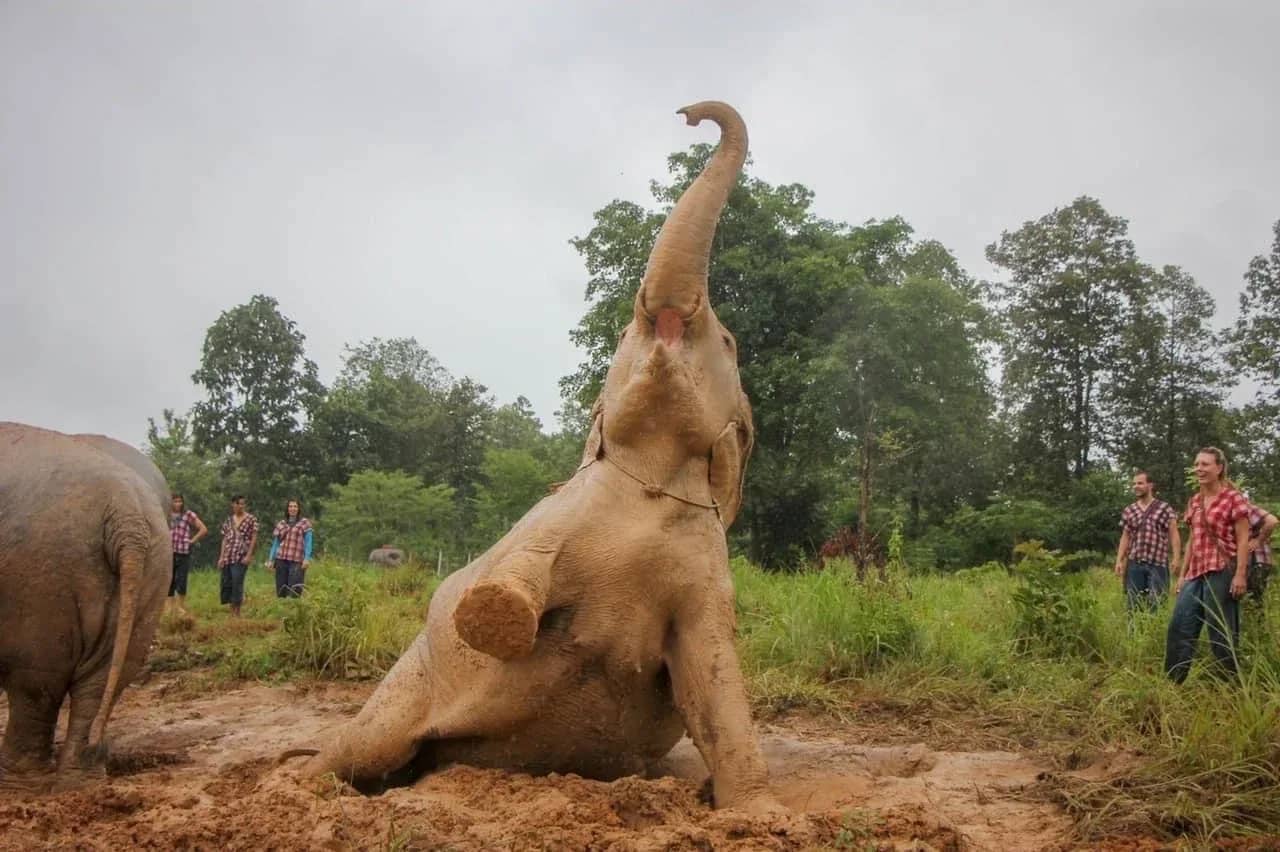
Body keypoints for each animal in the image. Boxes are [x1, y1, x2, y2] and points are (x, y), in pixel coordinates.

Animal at [0, 422, 171, 790]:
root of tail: (126, 511)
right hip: (153, 568)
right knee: (104, 677)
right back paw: (82, 779)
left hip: (41, 577)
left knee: (36, 681)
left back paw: (18, 781)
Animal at [295, 101, 783, 815]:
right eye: (624, 332)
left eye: (727, 342)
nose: (691, 115)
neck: (650, 480)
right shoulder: (549, 521)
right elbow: (494, 589)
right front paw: (494, 612)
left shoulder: (706, 576)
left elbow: (712, 673)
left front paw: (755, 811)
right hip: (401, 688)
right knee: (364, 747)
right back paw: (299, 784)